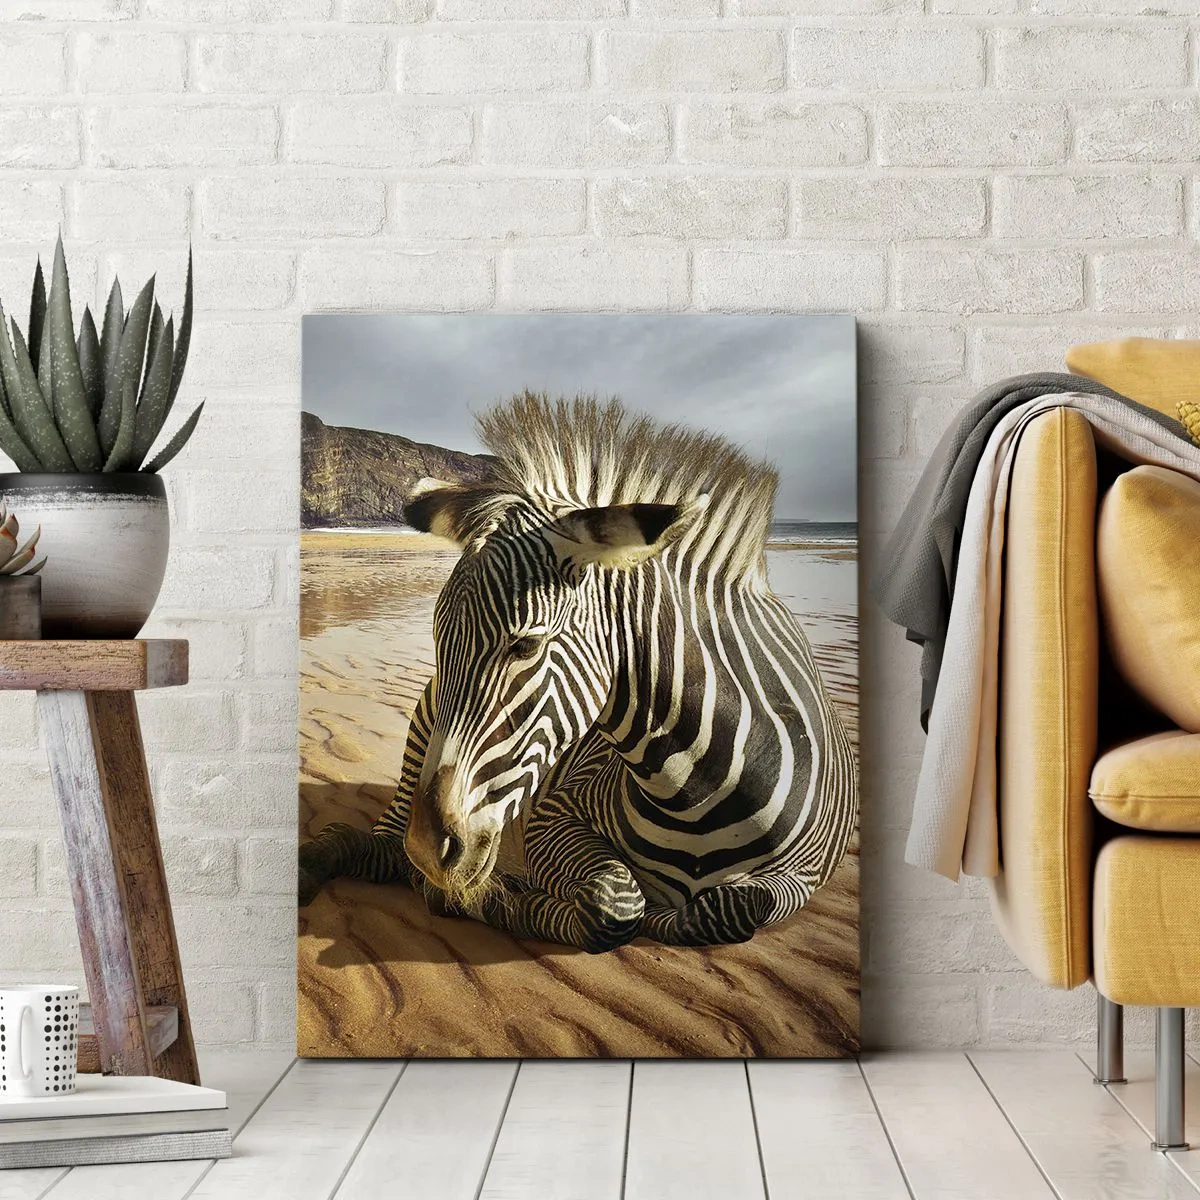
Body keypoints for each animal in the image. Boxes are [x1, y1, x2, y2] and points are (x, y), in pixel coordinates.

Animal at [299, 393, 857, 950]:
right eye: (439, 641)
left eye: (526, 645)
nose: (427, 848)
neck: (702, 790)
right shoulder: (555, 815)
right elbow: (614, 905)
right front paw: (491, 898)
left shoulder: (804, 876)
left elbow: (729, 907)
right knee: (380, 847)